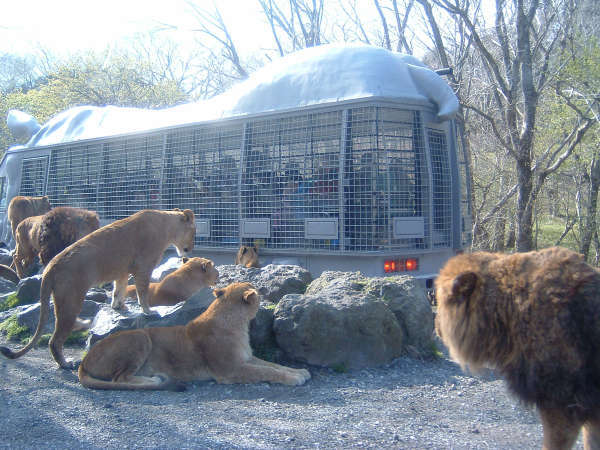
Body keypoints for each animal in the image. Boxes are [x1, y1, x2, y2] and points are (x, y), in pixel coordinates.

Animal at [0, 207, 195, 370]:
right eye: (194, 232)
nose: (191, 249)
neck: (166, 225)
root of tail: (50, 267)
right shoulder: (143, 267)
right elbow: (142, 291)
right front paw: (148, 311)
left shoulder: (123, 270)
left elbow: (118, 290)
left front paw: (119, 307)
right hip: (71, 298)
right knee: (55, 339)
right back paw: (66, 363)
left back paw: (83, 324)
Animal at [78, 284, 312, 388]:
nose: (264, 298)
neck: (239, 323)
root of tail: (84, 360)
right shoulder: (229, 370)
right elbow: (265, 371)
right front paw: (294, 378)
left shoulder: (246, 358)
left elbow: (273, 365)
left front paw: (299, 371)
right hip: (139, 337)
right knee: (120, 378)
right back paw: (153, 379)